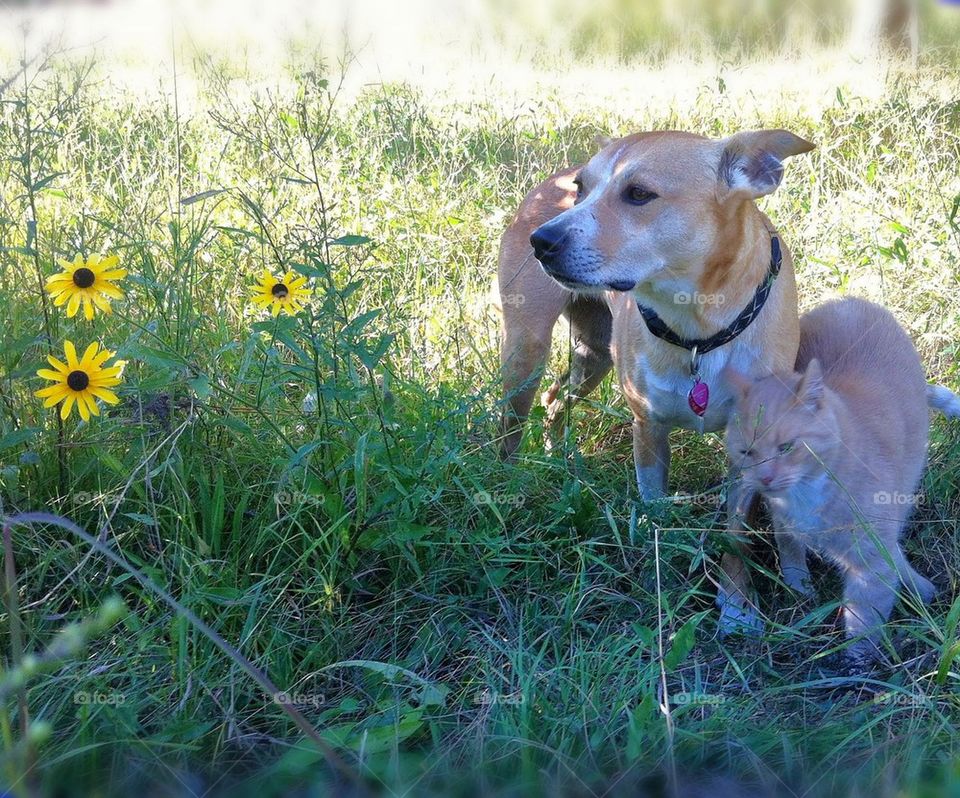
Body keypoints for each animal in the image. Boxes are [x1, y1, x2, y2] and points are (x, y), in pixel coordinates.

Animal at [498, 130, 812, 632]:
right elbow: (654, 507)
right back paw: (505, 486)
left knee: (555, 400)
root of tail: (547, 182)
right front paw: (658, 573)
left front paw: (737, 601)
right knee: (511, 425)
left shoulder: (752, 443)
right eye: (582, 189)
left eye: (639, 194)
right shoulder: (648, 429)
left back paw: (563, 460)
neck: (700, 329)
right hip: (526, 352)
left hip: (593, 354)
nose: (541, 240)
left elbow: (737, 532)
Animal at [724, 296, 956, 664]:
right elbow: (789, 548)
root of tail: (850, 300)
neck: (806, 492)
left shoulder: (870, 559)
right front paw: (799, 586)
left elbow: (864, 615)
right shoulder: (784, 520)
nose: (765, 478)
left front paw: (855, 659)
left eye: (786, 447)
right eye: (747, 451)